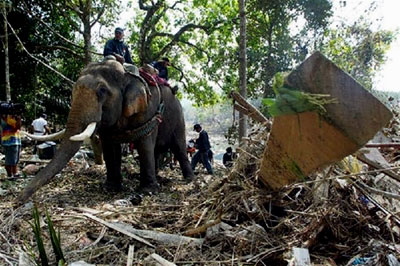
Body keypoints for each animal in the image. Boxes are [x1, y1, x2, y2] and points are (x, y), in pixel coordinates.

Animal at [19, 59, 195, 203]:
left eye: (102, 91)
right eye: (72, 90)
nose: (17, 200)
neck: (127, 75)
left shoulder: (149, 109)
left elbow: (144, 143)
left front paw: (148, 191)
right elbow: (110, 147)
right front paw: (111, 188)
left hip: (178, 117)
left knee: (178, 147)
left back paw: (189, 179)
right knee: (157, 150)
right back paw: (159, 176)